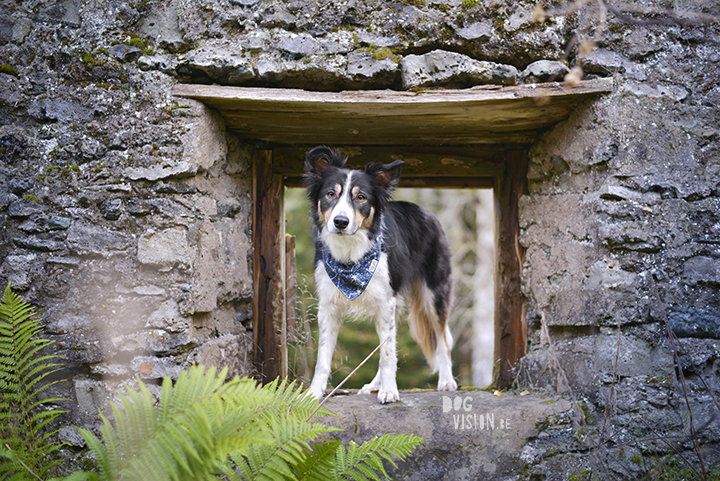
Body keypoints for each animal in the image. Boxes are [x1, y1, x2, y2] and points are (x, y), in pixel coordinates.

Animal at [304, 145, 456, 402]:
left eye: (361, 197)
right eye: (330, 194)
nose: (340, 222)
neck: (351, 254)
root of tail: (426, 212)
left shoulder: (386, 301)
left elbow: (387, 353)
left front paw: (389, 391)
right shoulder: (328, 305)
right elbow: (323, 355)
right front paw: (314, 393)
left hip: (434, 294)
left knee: (441, 340)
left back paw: (446, 381)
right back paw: (375, 384)